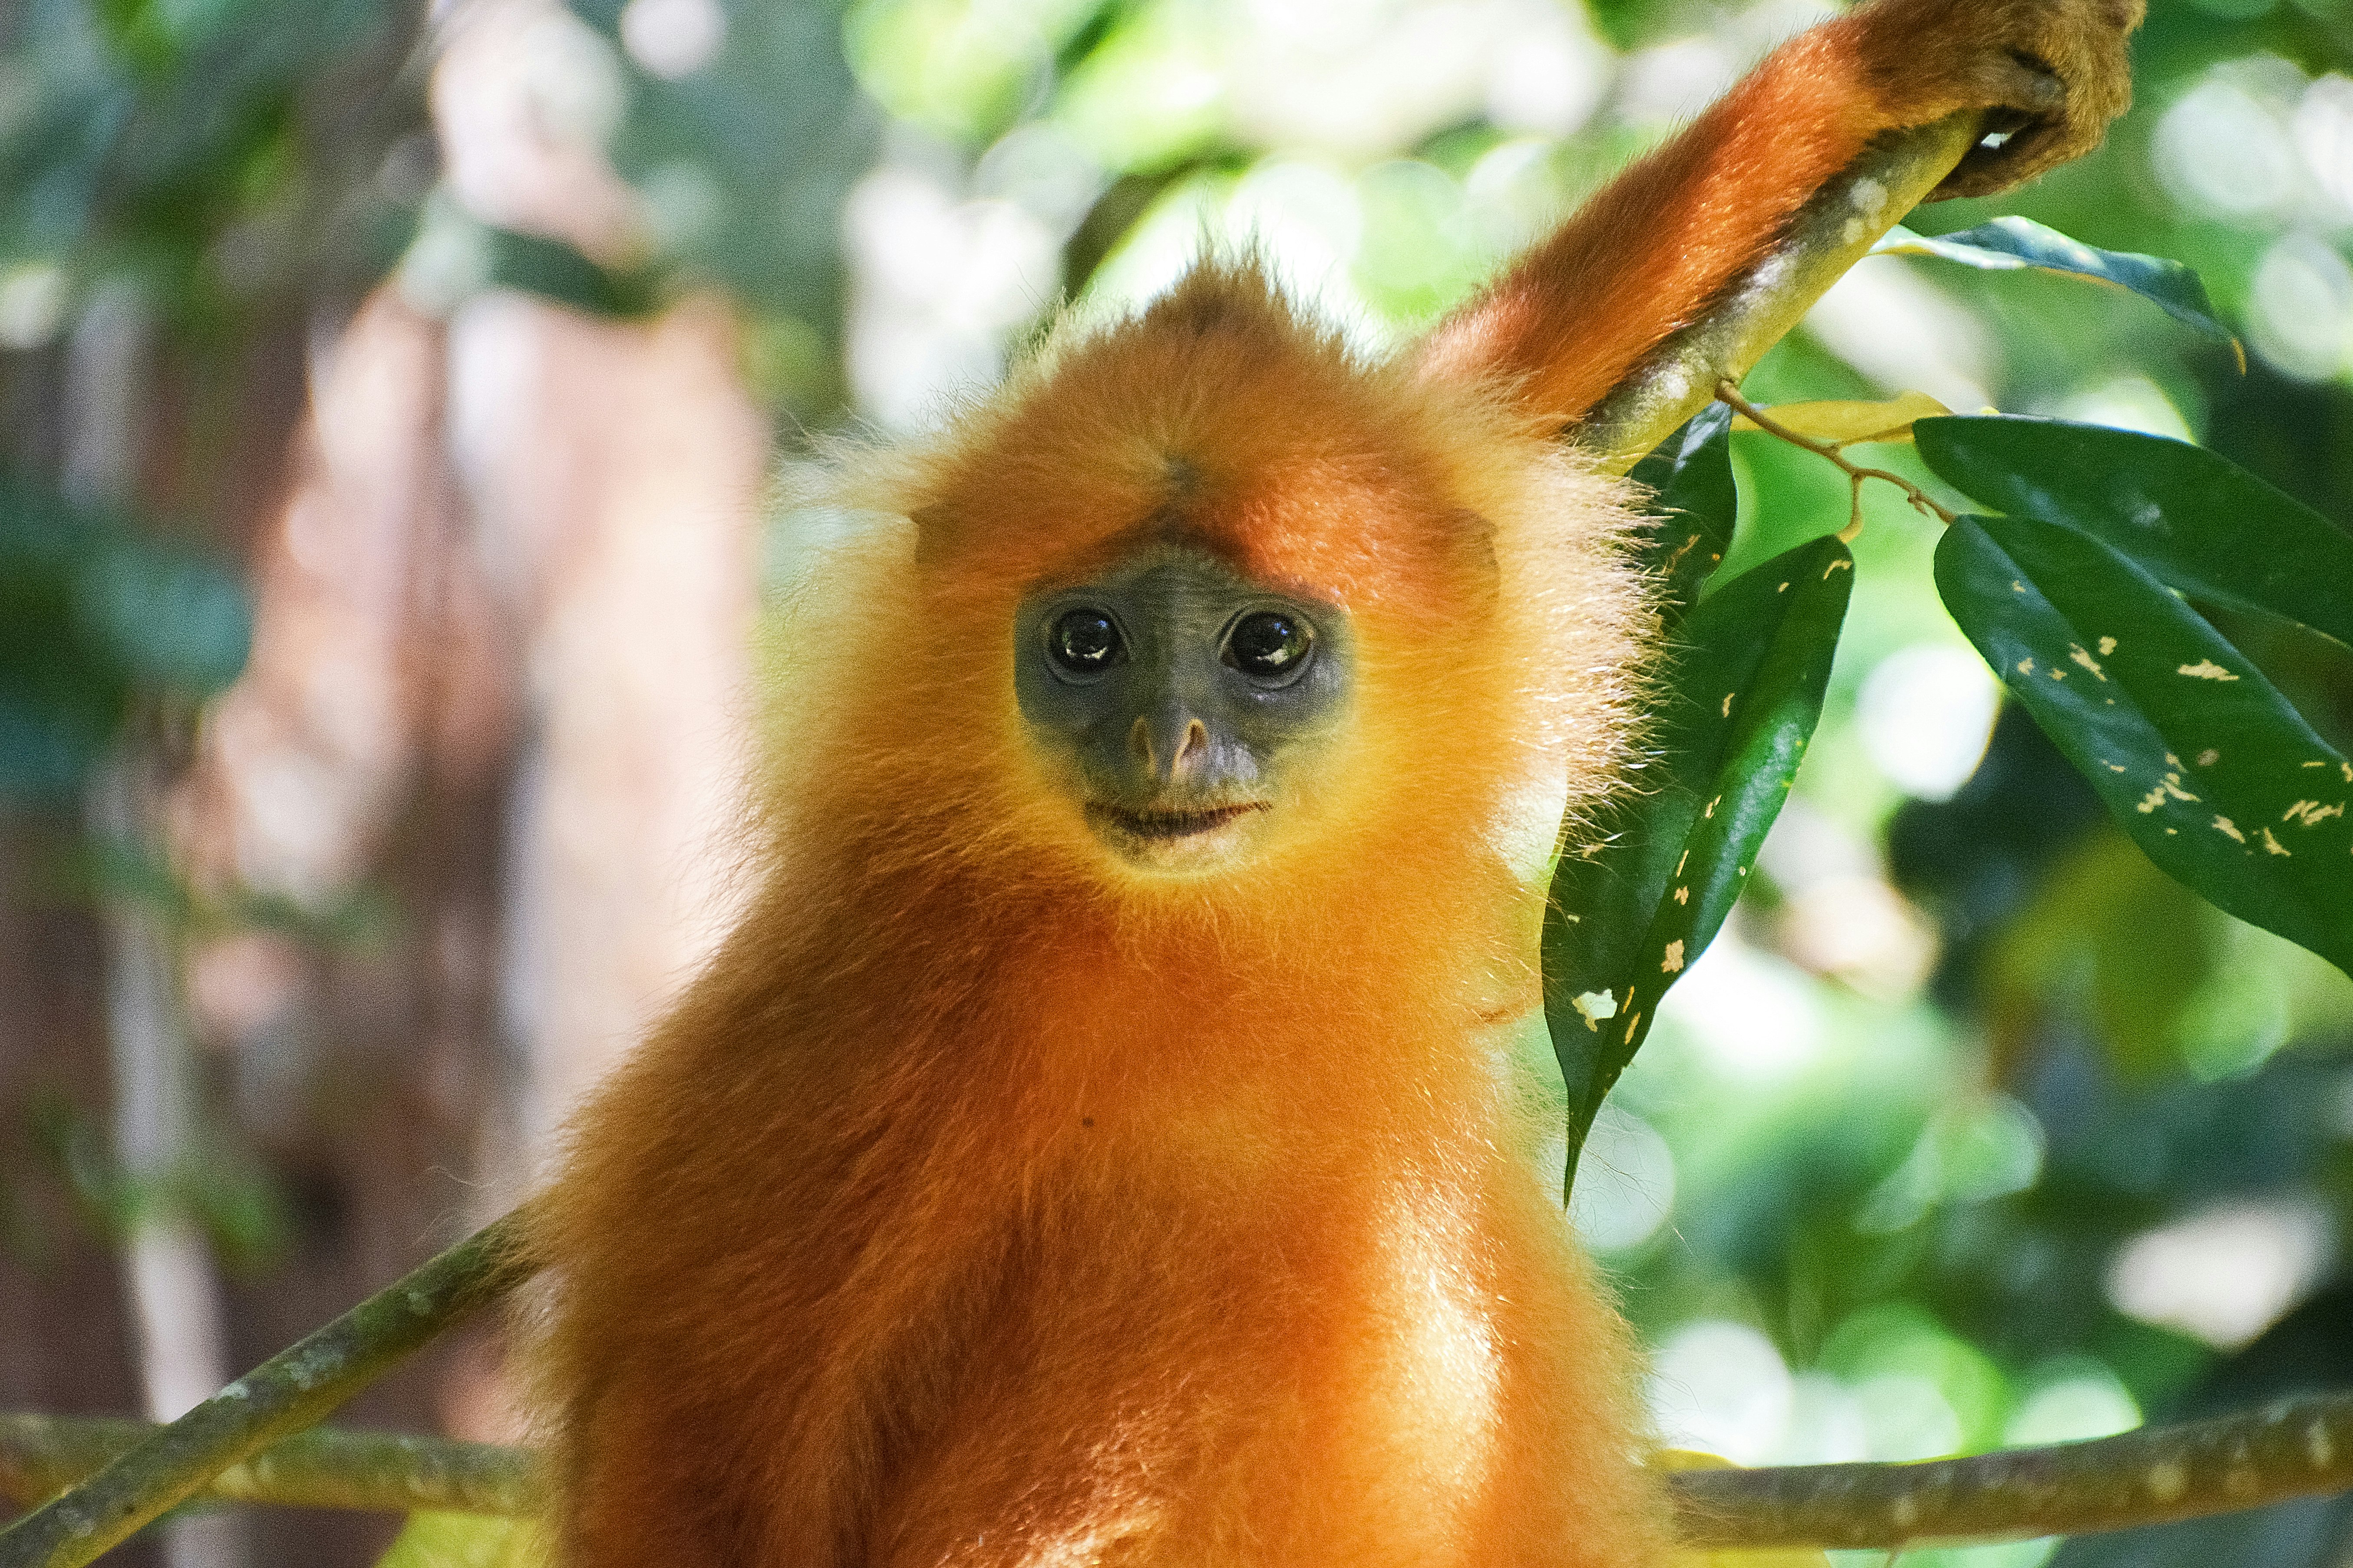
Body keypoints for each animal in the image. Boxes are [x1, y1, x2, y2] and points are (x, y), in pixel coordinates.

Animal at [525, 0, 2146, 1561]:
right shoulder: (876, 996)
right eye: (1088, 642)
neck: (1173, 938)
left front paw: (1894, 60)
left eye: (1264, 647)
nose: (1167, 742)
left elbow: (1495, 386)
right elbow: (700, 1426)